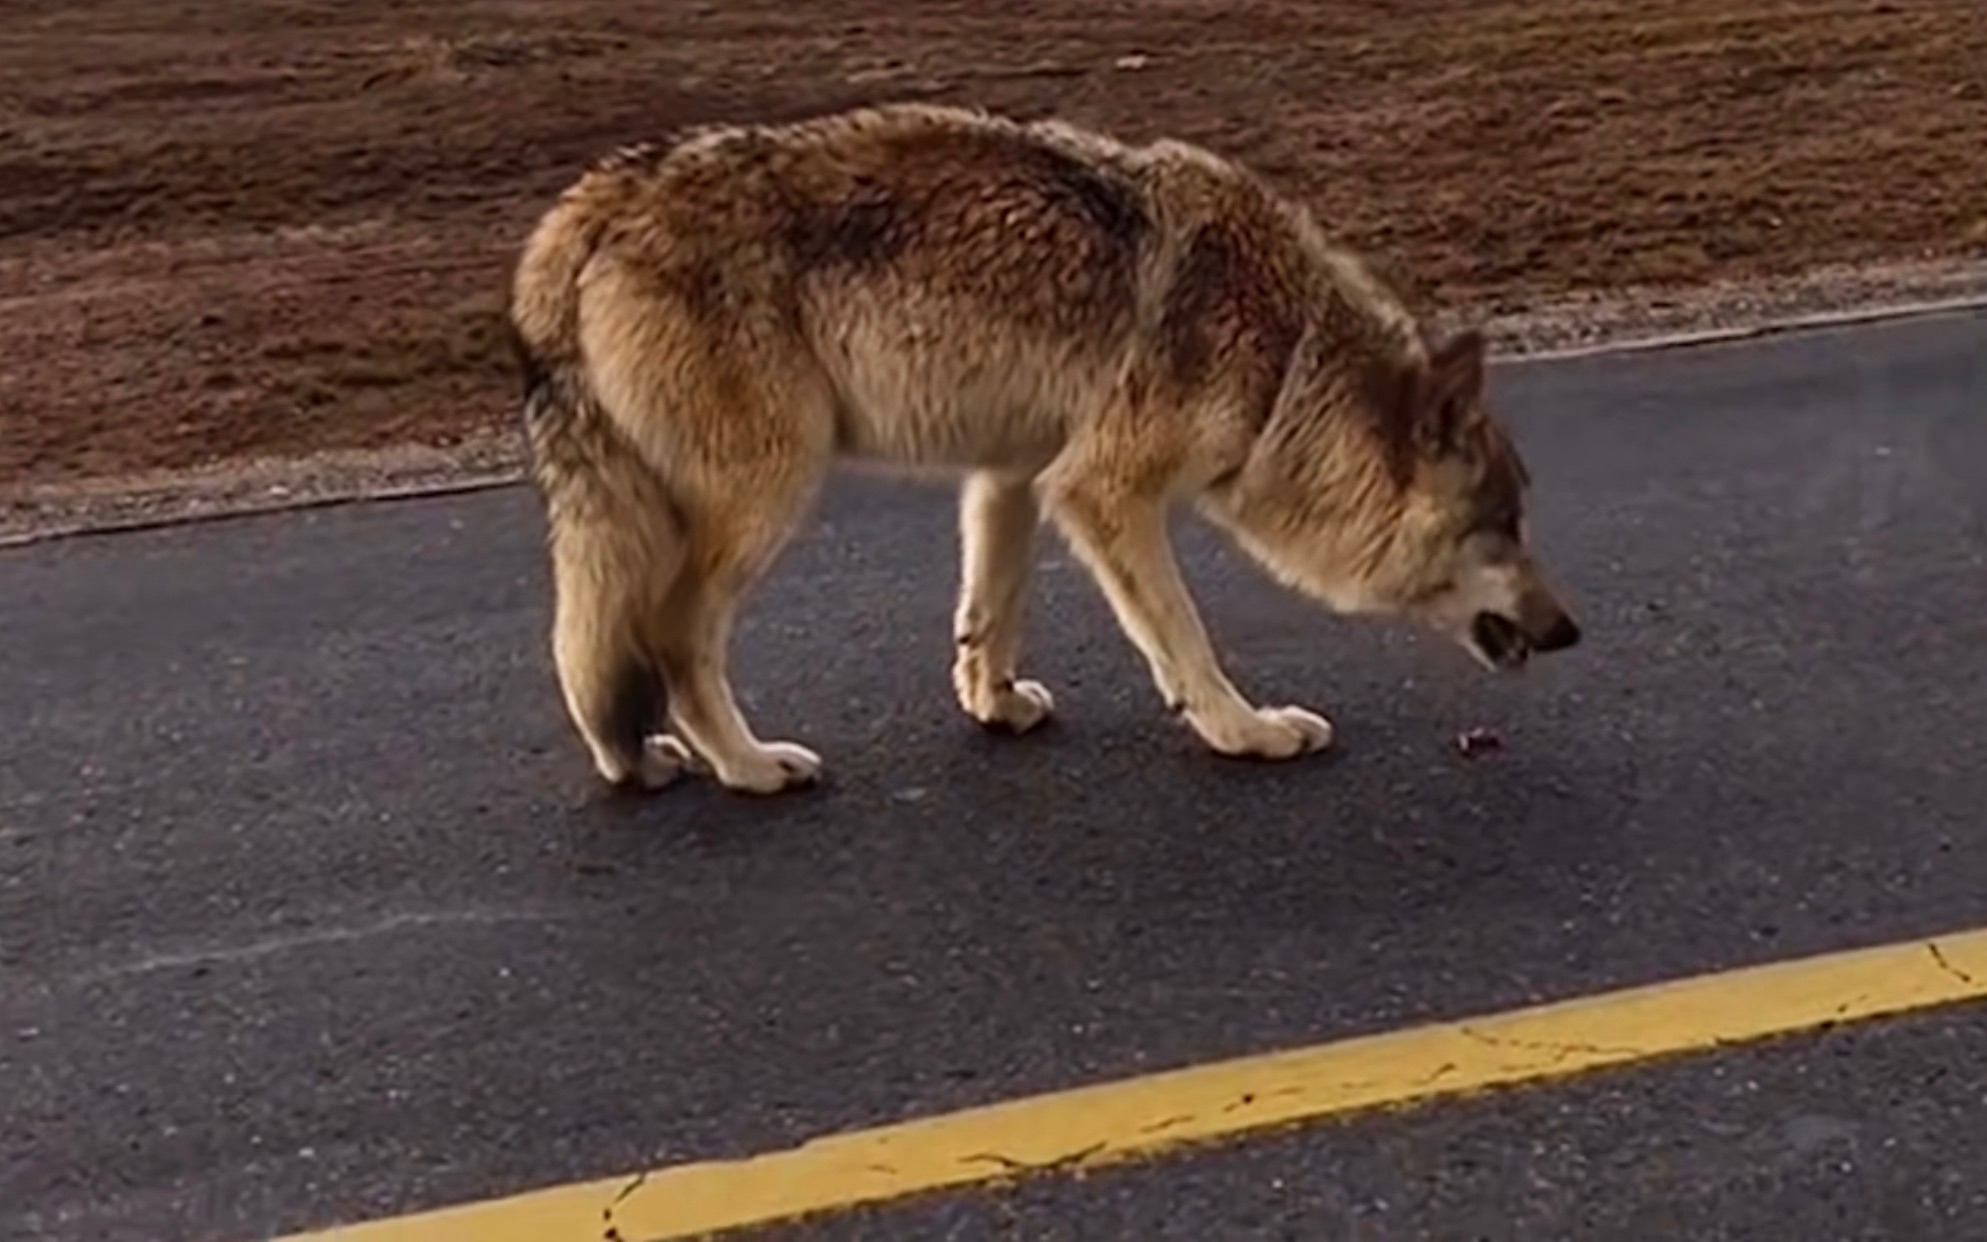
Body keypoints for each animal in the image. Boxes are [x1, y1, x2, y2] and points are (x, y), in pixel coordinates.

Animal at [508, 99, 1581, 794]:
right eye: (1503, 524)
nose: (1571, 631)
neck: (1286, 356)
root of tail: (597, 196)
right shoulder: (1105, 492)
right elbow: (1183, 637)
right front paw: (1244, 733)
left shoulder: (1017, 475)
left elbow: (989, 614)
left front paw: (995, 707)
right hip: (769, 496)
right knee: (672, 639)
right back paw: (748, 768)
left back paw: (641, 761)